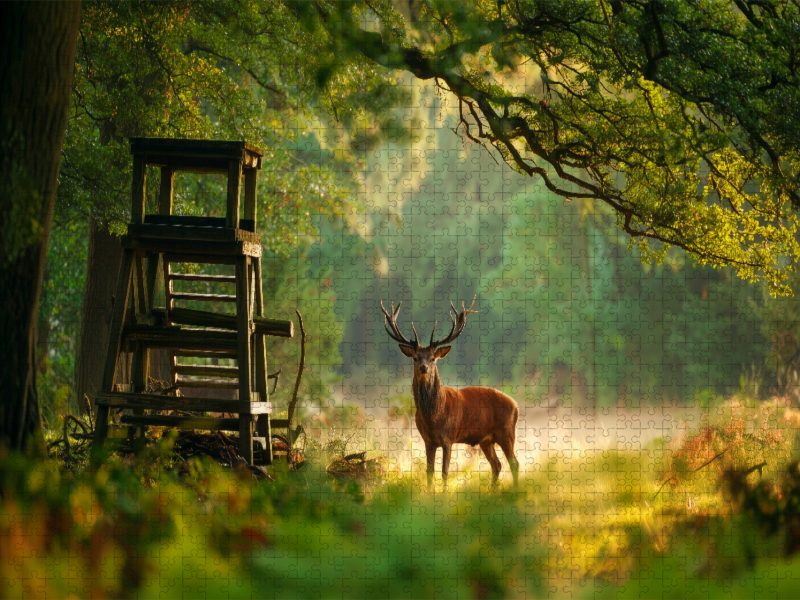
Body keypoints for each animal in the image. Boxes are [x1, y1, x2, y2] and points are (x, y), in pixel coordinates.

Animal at [380, 297, 520, 489]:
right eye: (415, 358)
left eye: (432, 358)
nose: (424, 367)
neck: (433, 415)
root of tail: (516, 405)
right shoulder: (428, 440)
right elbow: (429, 472)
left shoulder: (448, 437)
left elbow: (445, 472)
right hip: (486, 440)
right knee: (497, 465)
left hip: (506, 432)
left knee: (514, 464)